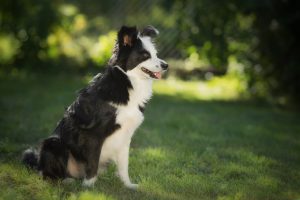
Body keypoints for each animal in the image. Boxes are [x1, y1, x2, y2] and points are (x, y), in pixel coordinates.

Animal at [22, 25, 169, 189]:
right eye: (145, 55)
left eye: (155, 54)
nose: (166, 65)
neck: (126, 81)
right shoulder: (94, 134)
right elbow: (92, 162)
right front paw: (88, 188)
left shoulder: (125, 135)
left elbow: (124, 165)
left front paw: (127, 185)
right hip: (53, 143)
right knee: (47, 173)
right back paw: (66, 180)